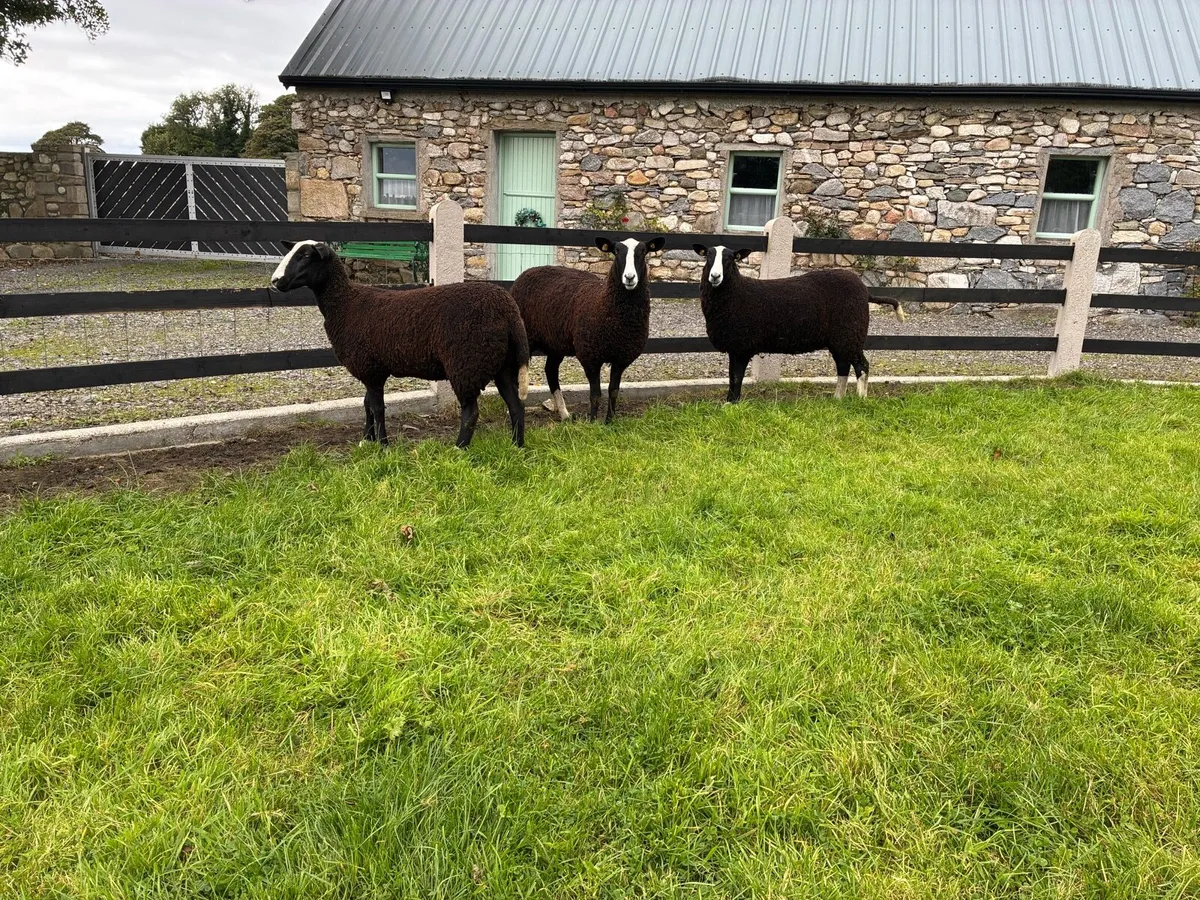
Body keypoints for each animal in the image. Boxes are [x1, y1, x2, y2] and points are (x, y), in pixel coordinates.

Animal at [270, 240, 529, 449]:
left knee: (471, 412)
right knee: (516, 406)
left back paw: (459, 449)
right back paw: (516, 446)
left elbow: (378, 408)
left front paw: (383, 445)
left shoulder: (370, 367)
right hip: (502, 364)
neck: (344, 303)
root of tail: (508, 308)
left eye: (305, 255)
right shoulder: (371, 368)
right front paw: (367, 440)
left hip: (466, 363)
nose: (275, 281)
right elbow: (366, 404)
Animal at [510, 235, 666, 423]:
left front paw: (609, 422)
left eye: (643, 251)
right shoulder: (590, 356)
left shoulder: (621, 358)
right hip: (525, 338)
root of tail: (527, 272)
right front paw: (592, 422)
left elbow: (613, 391)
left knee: (551, 371)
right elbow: (595, 394)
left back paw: (564, 414)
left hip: (556, 342)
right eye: (616, 251)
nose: (629, 277)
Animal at [692, 243, 905, 402]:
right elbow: (731, 376)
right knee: (843, 366)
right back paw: (838, 399)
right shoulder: (735, 346)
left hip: (851, 334)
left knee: (862, 366)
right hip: (840, 339)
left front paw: (732, 404)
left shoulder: (742, 346)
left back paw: (860, 399)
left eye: (730, 259)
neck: (737, 292)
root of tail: (865, 291)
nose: (715, 276)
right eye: (708, 256)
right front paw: (729, 401)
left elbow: (736, 377)